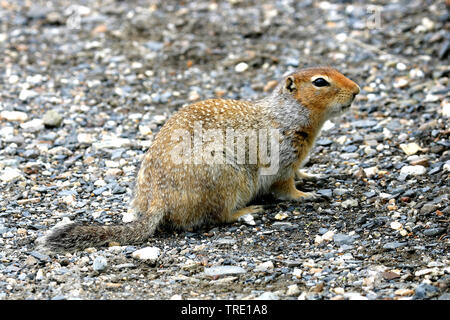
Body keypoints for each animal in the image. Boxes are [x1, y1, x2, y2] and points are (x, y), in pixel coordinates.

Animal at [40, 67, 360, 252]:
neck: (288, 113)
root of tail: (158, 201)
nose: (357, 90)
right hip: (230, 178)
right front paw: (307, 196)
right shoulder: (282, 158)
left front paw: (312, 176)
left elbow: (298, 175)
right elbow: (285, 188)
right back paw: (247, 211)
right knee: (218, 216)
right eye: (320, 82)